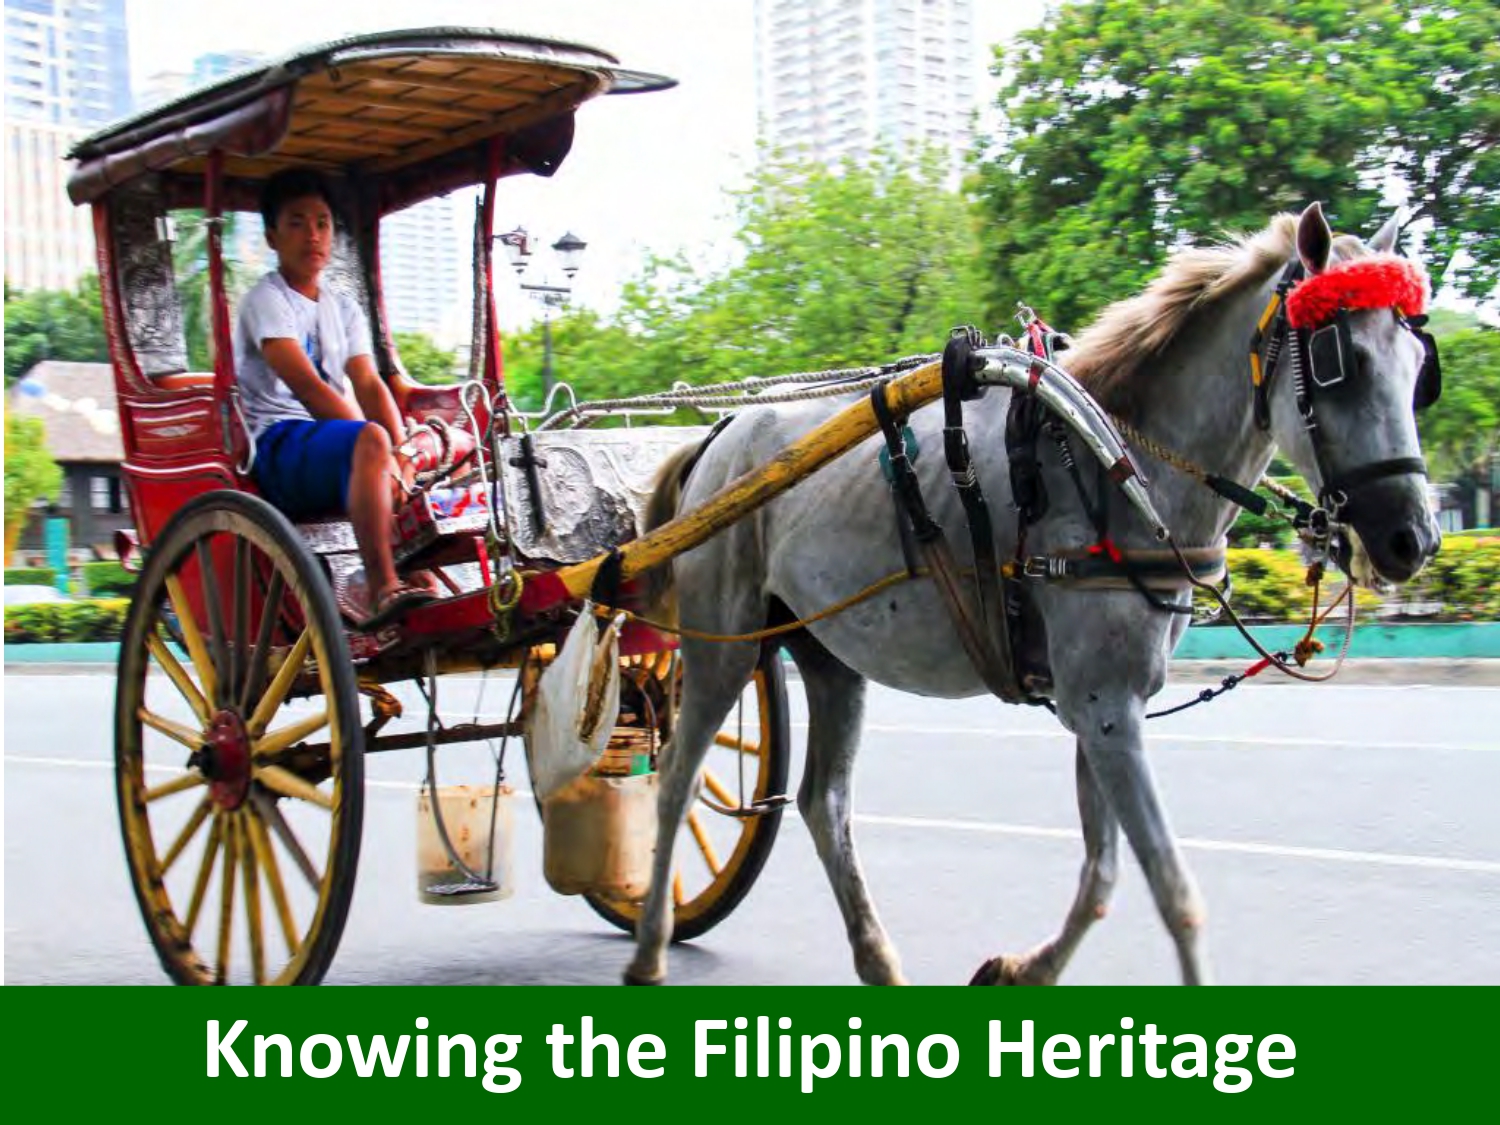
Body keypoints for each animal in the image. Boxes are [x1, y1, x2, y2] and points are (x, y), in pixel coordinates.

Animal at [624, 205, 1440, 984]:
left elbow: (1103, 872)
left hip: (828, 654)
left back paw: (876, 958)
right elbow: (1173, 891)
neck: (1117, 465)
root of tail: (720, 433)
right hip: (723, 645)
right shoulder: (1105, 706)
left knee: (824, 802)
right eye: (1338, 362)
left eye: (1417, 368)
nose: (1412, 537)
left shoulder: (1106, 703)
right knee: (676, 779)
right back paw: (649, 944)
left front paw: (1022, 968)